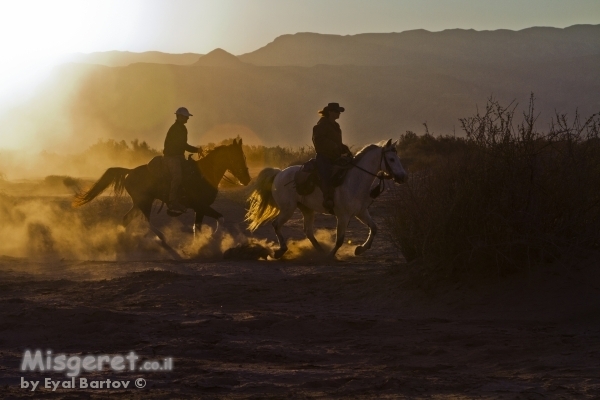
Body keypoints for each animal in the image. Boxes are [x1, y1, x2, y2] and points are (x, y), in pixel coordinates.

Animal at [73, 138, 251, 256]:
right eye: (237, 157)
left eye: (245, 157)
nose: (247, 179)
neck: (204, 175)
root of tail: (130, 171)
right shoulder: (201, 206)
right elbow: (220, 218)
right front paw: (209, 239)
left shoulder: (200, 209)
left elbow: (198, 228)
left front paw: (197, 247)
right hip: (145, 202)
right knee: (147, 221)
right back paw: (162, 238)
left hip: (139, 203)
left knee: (126, 219)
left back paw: (120, 241)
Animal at [245, 141, 408, 260]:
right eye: (392, 159)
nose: (403, 177)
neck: (354, 181)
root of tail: (279, 173)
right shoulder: (343, 216)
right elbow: (340, 239)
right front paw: (331, 255)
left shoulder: (361, 212)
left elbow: (374, 228)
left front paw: (360, 249)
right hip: (287, 209)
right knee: (276, 225)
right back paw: (281, 250)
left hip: (307, 209)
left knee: (308, 231)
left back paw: (320, 250)